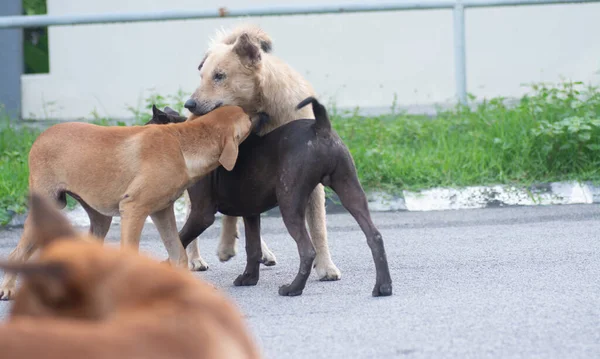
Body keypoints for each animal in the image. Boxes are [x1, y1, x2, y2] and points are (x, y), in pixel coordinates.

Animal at [0, 106, 253, 300]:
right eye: (245, 116)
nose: (255, 114)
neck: (182, 145)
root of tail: (40, 137)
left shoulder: (162, 212)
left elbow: (178, 252)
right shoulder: (134, 209)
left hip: (100, 218)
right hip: (46, 207)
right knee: (16, 253)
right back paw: (8, 288)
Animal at [154, 96, 394, 298]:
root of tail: (320, 127)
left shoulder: (202, 214)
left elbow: (180, 238)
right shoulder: (250, 213)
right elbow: (252, 247)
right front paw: (249, 278)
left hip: (290, 202)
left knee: (307, 250)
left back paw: (293, 288)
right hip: (350, 189)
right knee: (374, 236)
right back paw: (383, 287)